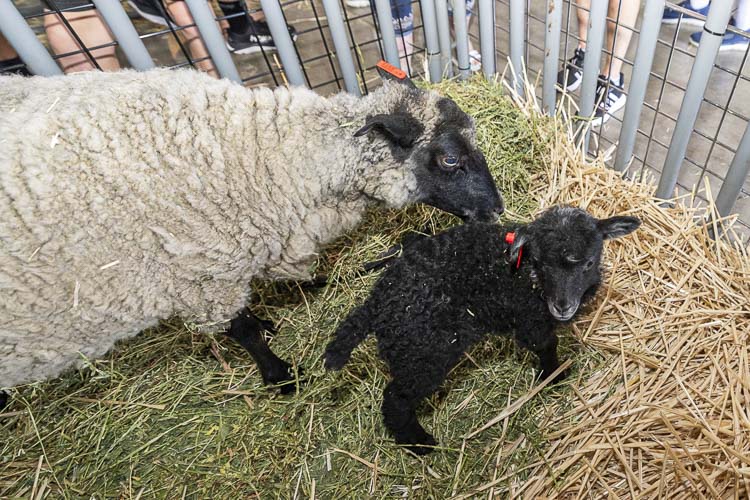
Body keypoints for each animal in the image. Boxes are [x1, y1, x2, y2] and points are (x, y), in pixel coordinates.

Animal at [0, 67, 506, 398]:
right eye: (449, 159)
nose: (496, 211)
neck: (268, 157)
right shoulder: (205, 277)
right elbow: (240, 329)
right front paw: (281, 375)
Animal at [324, 205, 640, 456]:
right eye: (540, 262)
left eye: (588, 262)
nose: (562, 307)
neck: (526, 276)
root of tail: (374, 305)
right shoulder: (531, 320)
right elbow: (547, 345)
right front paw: (554, 375)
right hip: (423, 355)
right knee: (395, 400)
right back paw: (420, 444)